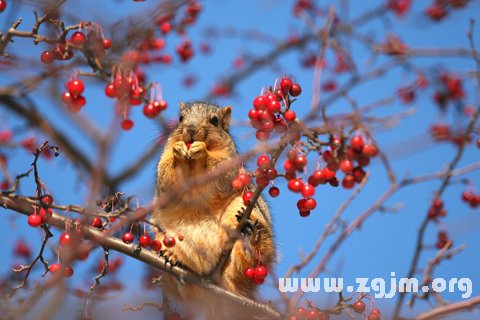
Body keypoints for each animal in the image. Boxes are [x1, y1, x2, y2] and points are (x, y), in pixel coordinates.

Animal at [152, 101, 276, 318]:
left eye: (215, 121)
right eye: (181, 119)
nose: (191, 130)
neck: (191, 164)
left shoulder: (229, 163)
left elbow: (218, 169)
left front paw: (201, 151)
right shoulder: (165, 169)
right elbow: (166, 176)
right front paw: (178, 151)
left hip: (247, 212)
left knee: (247, 263)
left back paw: (251, 239)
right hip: (162, 234)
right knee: (187, 295)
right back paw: (174, 264)